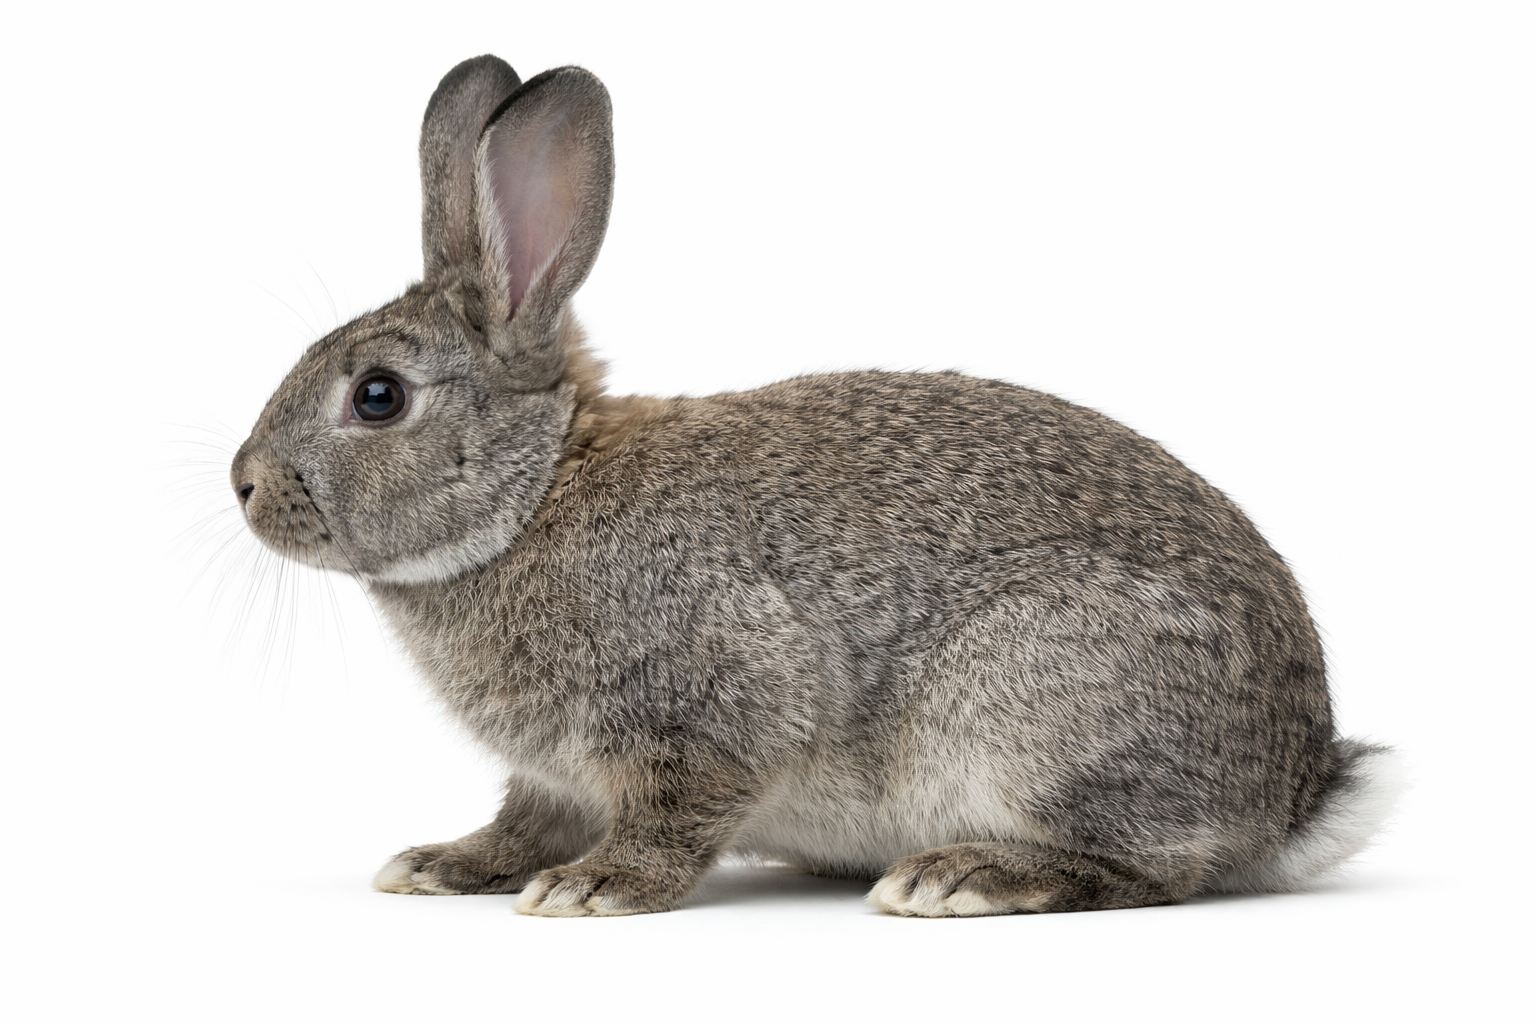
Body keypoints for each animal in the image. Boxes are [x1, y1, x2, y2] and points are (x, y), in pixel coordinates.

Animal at [231, 54, 1402, 917]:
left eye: (377, 397)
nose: (242, 484)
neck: (533, 497)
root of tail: (1294, 793)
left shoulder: (709, 703)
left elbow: (672, 817)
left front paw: (595, 887)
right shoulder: (554, 776)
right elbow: (523, 820)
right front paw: (445, 864)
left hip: (1040, 701)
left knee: (1154, 868)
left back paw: (963, 875)